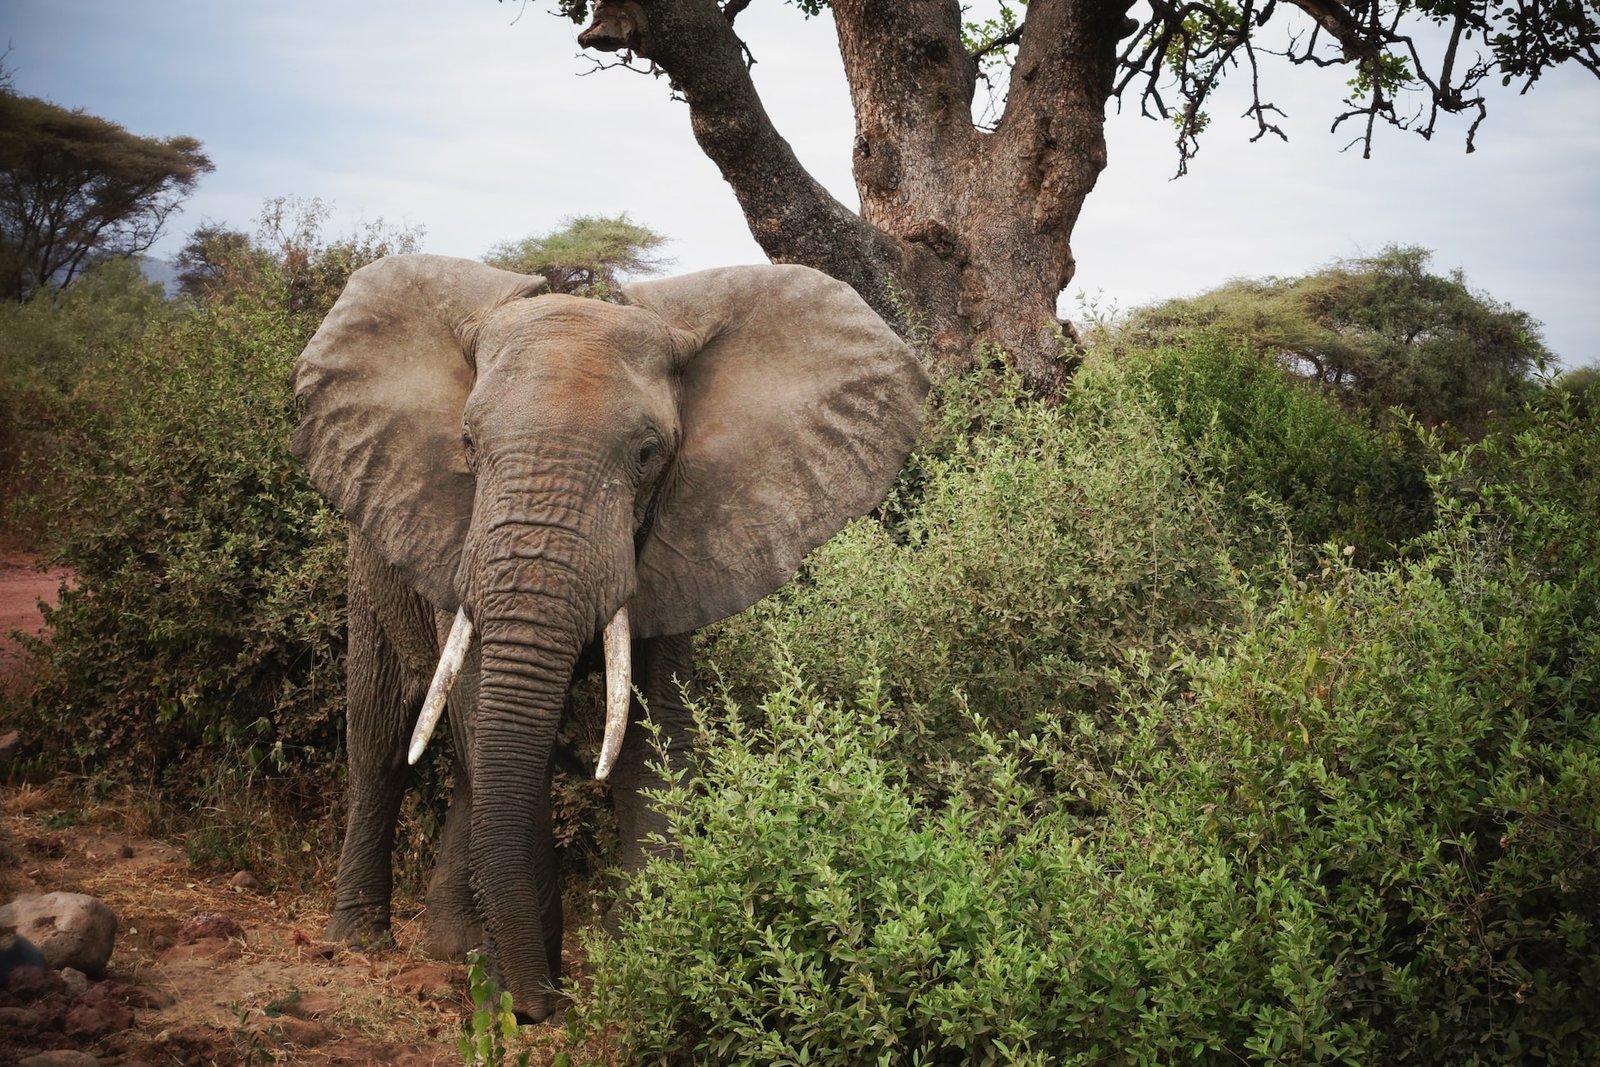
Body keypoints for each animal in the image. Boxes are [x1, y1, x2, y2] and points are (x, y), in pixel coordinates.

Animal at [294, 254, 934, 1023]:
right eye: (469, 444)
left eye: (649, 453)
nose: (538, 1007)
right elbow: (488, 719)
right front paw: (526, 994)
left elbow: (655, 735)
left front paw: (647, 965)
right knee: (385, 735)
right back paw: (362, 942)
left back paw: (453, 949)